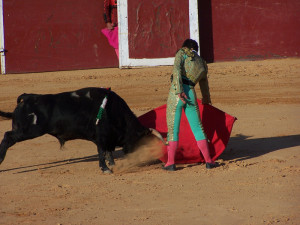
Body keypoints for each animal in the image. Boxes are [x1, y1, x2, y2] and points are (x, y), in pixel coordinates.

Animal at [0, 87, 164, 173]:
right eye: (139, 141)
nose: (132, 155)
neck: (112, 111)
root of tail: (27, 97)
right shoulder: (101, 137)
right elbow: (102, 152)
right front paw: (105, 168)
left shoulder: (108, 138)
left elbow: (109, 152)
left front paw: (112, 164)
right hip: (28, 131)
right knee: (8, 136)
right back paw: (1, 161)